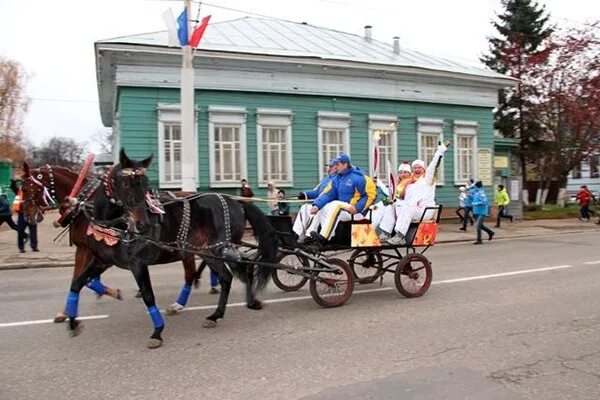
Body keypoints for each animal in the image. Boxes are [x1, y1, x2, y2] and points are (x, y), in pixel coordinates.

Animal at [47, 148, 276, 348]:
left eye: (145, 184)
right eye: (125, 183)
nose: (143, 224)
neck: (116, 225)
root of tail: (236, 201)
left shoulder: (137, 264)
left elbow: (148, 295)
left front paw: (157, 332)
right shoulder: (102, 260)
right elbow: (77, 283)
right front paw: (72, 321)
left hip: (220, 250)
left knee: (242, 268)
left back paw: (247, 301)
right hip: (209, 252)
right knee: (228, 276)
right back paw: (219, 313)